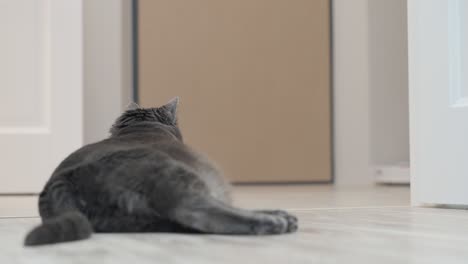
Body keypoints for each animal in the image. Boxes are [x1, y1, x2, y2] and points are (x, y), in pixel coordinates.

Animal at [24, 98, 296, 246]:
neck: (141, 127)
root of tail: (63, 181)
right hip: (171, 172)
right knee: (196, 210)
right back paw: (272, 222)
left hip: (140, 218)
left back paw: (280, 216)